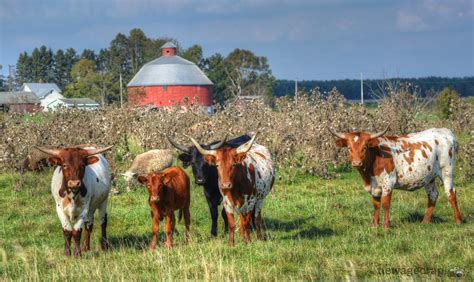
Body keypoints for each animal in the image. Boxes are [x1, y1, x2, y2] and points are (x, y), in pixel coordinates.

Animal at [330, 126, 462, 228]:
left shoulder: (388, 183)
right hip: (429, 177)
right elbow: (376, 204)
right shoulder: (374, 187)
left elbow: (385, 204)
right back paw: (424, 222)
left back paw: (458, 221)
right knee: (433, 195)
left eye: (365, 147)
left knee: (451, 193)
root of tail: (446, 132)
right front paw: (374, 225)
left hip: (447, 171)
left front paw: (386, 226)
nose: (356, 163)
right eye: (349, 148)